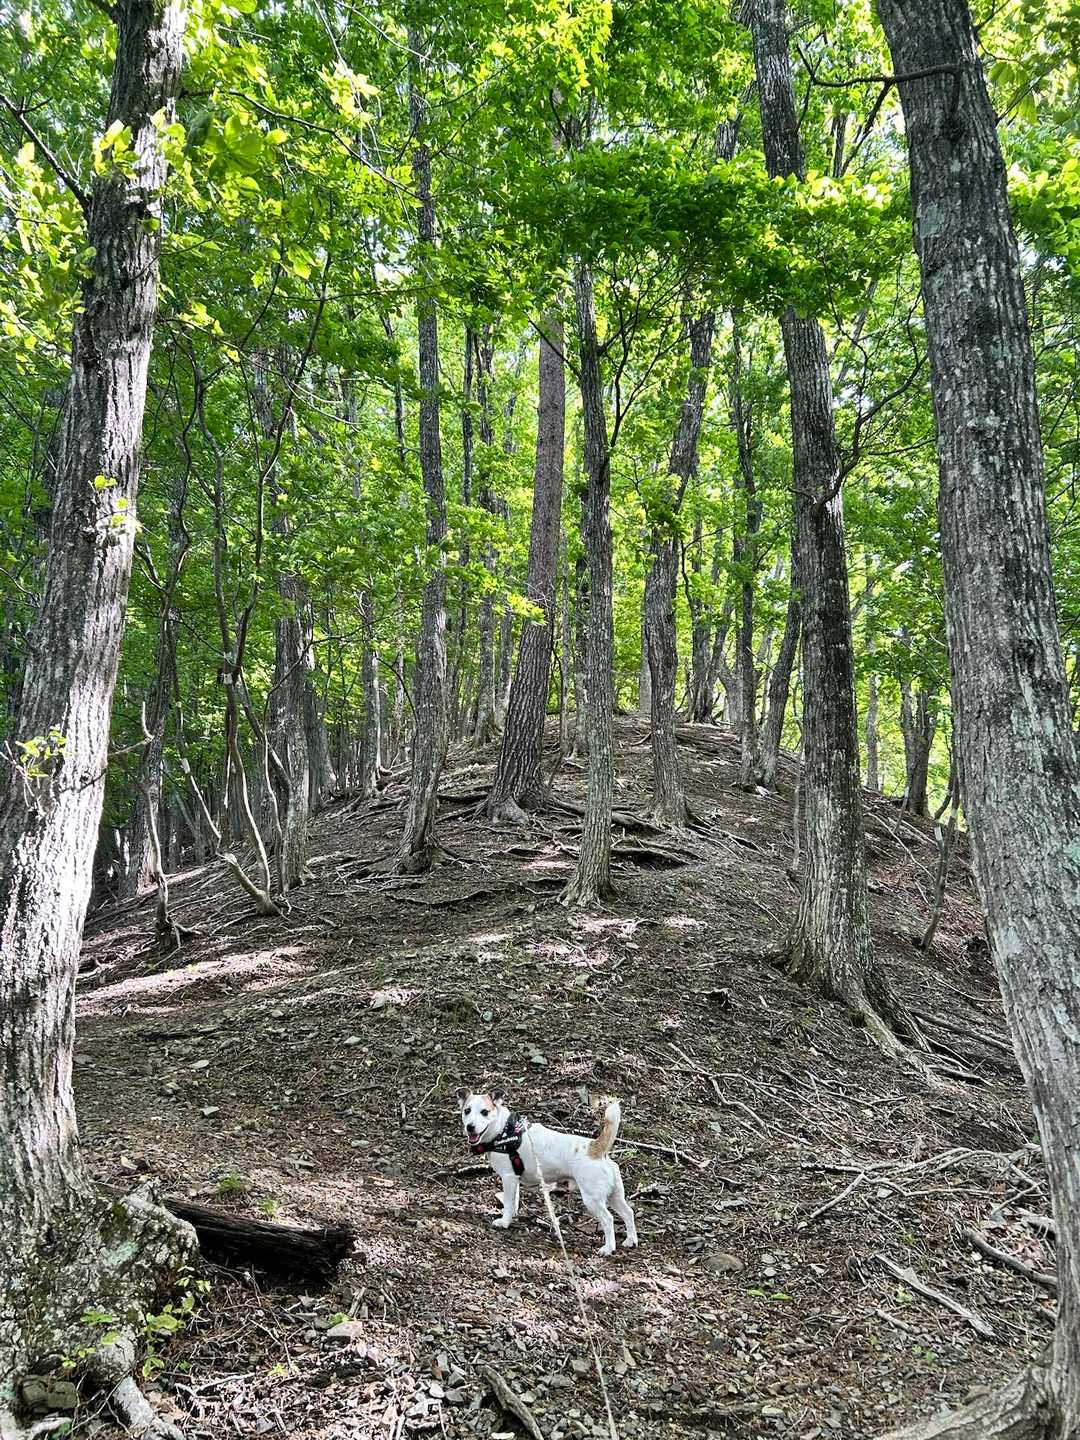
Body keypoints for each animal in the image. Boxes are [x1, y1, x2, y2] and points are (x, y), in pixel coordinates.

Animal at [455, 1087, 638, 1256]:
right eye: (467, 1111)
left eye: (485, 1112)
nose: (470, 1127)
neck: (502, 1131)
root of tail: (596, 1148)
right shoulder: (514, 1180)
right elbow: (513, 1202)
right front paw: (512, 1215)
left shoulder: (508, 1177)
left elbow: (507, 1203)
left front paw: (504, 1222)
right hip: (614, 1196)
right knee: (628, 1213)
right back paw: (631, 1240)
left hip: (592, 1199)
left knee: (608, 1219)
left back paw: (608, 1248)